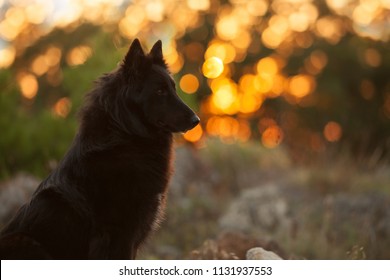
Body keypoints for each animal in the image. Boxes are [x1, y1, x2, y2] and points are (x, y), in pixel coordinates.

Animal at [0, 38, 200, 260]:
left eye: (173, 88)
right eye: (159, 91)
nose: (196, 120)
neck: (125, 135)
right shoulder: (116, 236)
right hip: (27, 242)